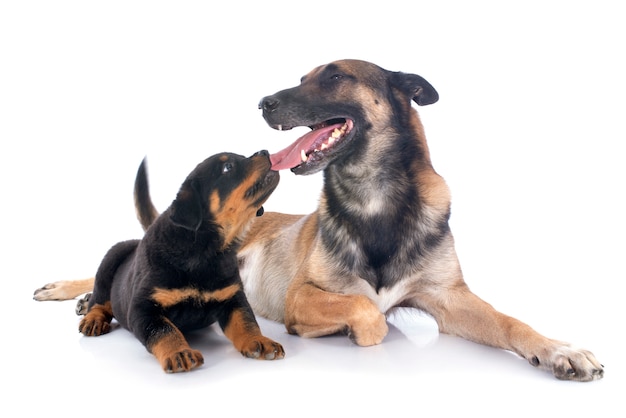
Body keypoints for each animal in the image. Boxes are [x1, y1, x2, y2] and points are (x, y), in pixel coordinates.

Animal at [34, 59, 600, 382]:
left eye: (333, 76)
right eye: (301, 78)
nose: (263, 102)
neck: (377, 201)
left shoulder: (449, 298)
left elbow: (511, 322)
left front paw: (560, 351)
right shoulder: (302, 295)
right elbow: (369, 312)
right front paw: (351, 329)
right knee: (124, 261)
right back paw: (75, 292)